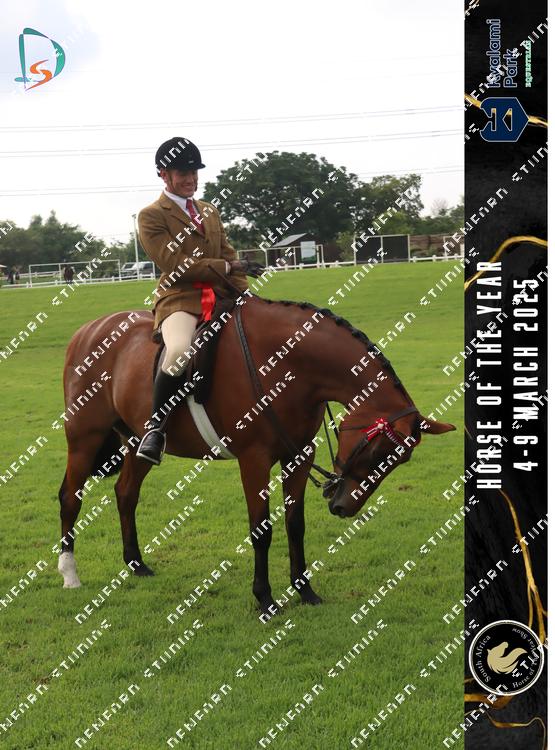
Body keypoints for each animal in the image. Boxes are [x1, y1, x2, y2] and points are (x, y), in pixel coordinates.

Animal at [57, 294, 455, 615]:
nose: (343, 507)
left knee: (126, 493)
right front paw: (265, 599)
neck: (285, 365)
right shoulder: (254, 460)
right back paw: (70, 574)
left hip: (137, 441)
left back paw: (136, 563)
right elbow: (261, 529)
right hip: (84, 438)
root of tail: (87, 330)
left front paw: (305, 590)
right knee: (70, 498)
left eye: (400, 460)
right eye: (376, 448)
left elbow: (295, 524)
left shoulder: (300, 456)